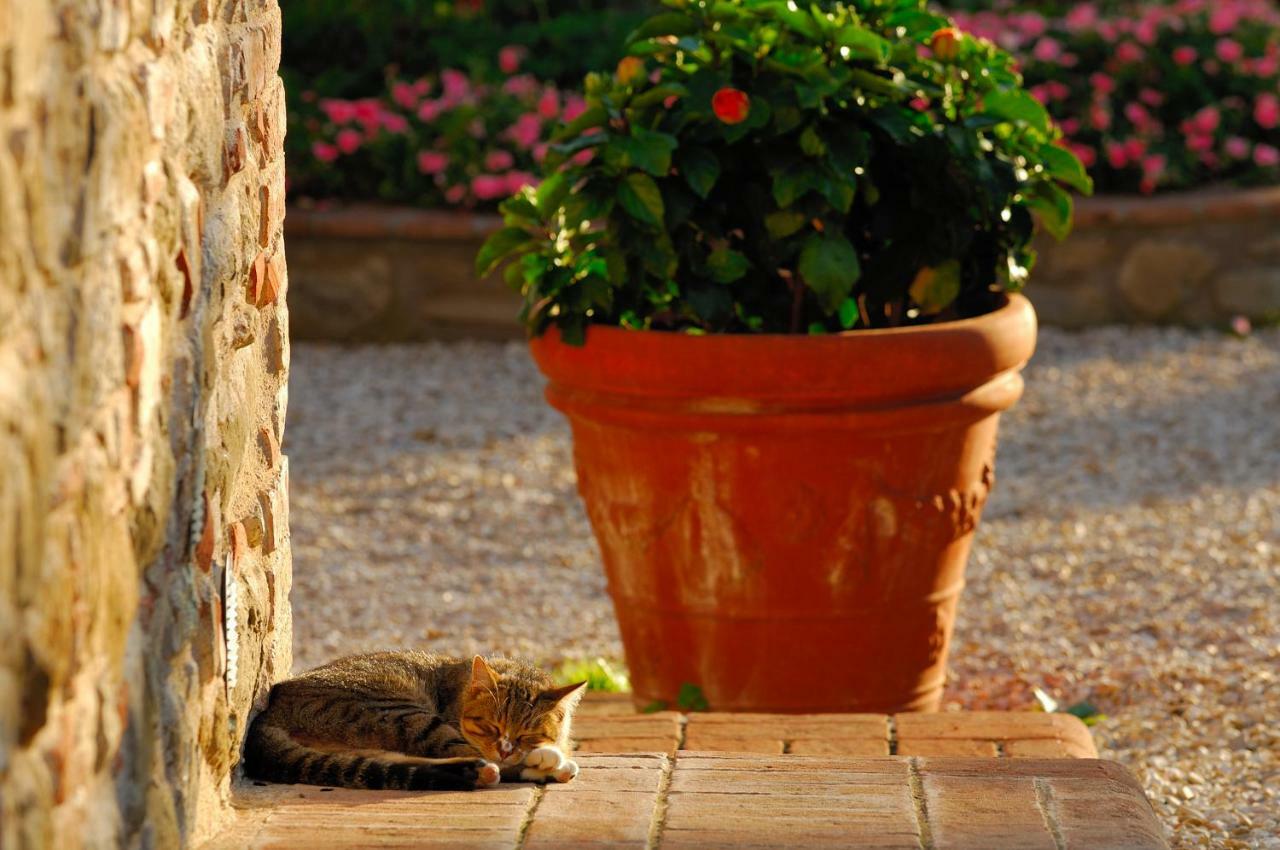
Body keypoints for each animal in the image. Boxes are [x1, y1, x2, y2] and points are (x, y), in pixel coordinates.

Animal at [241, 652, 586, 793]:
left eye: (527, 734)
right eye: (491, 727)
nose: (505, 749)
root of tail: (268, 712)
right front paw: (546, 759)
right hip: (398, 711)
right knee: (455, 754)